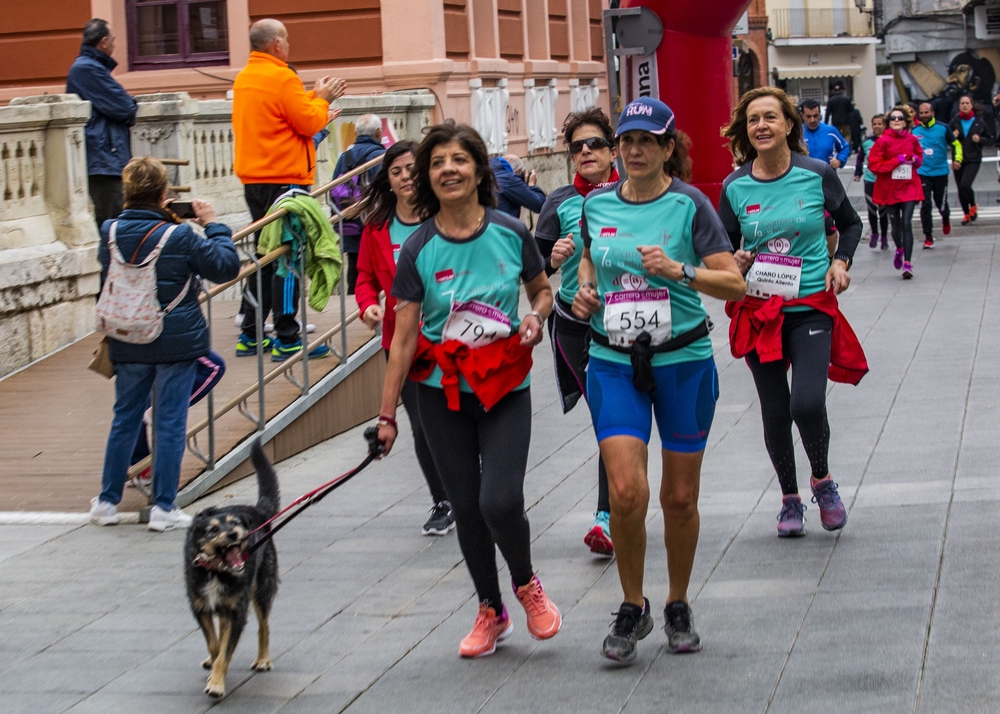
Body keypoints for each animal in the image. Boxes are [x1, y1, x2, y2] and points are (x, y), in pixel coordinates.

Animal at [183, 436, 278, 700]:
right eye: (213, 529)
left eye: (234, 524)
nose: (235, 533)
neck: (216, 570)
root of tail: (257, 511)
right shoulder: (201, 608)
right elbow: (215, 644)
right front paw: (214, 668)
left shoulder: (237, 612)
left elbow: (225, 649)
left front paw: (216, 684)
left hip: (261, 590)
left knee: (264, 626)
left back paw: (263, 659)